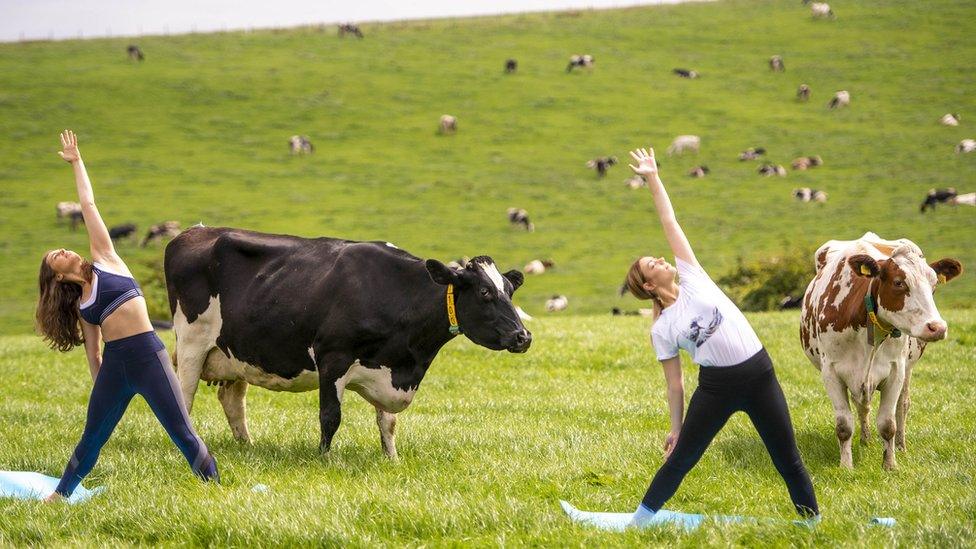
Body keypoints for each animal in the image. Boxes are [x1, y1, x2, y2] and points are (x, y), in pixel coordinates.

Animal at [168, 225, 532, 456]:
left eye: (509, 291)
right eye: (485, 292)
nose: (523, 336)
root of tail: (192, 232)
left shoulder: (389, 365)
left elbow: (388, 422)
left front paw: (391, 459)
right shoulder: (333, 357)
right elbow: (330, 416)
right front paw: (324, 458)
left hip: (235, 353)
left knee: (232, 401)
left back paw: (247, 446)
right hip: (191, 342)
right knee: (183, 397)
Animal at [800, 230, 960, 466]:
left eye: (934, 286)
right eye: (899, 282)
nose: (937, 327)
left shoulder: (895, 371)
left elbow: (888, 424)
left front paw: (890, 465)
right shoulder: (831, 372)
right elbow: (844, 426)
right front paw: (846, 466)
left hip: (907, 368)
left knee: (903, 405)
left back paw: (901, 446)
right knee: (862, 406)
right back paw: (865, 440)